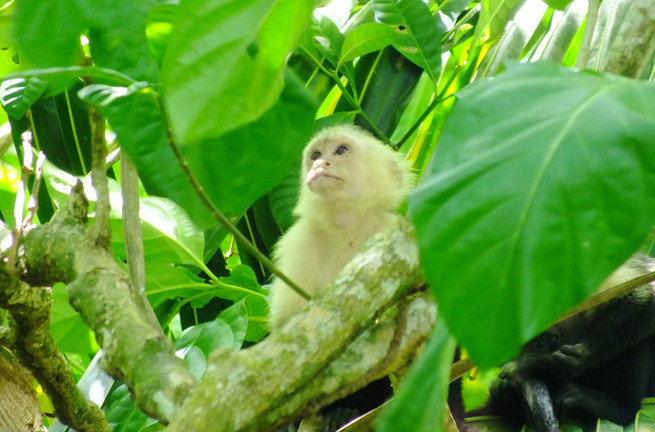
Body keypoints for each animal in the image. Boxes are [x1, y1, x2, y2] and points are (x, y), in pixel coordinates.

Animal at [268, 125, 412, 330]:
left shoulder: (393, 227)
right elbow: (286, 321)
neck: (348, 227)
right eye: (316, 155)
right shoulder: (300, 241)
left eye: (341, 150)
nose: (319, 164)